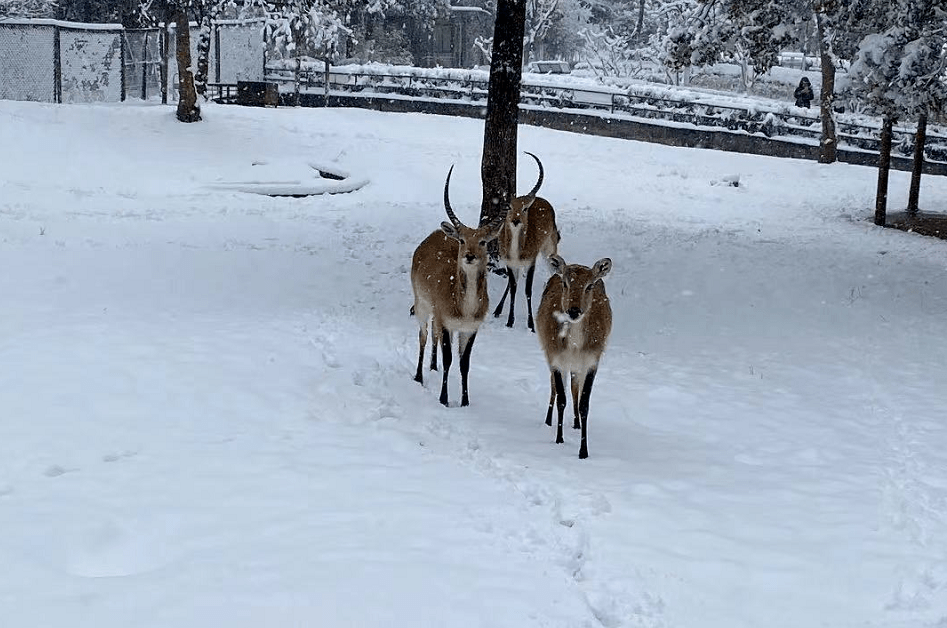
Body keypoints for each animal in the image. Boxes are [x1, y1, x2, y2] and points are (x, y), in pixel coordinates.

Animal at [412, 164, 508, 408]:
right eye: (463, 240)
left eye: (483, 241)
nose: (470, 256)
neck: (465, 308)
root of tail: (436, 233)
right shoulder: (447, 322)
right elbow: (448, 359)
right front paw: (444, 399)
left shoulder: (470, 329)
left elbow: (464, 363)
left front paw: (465, 401)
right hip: (422, 305)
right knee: (423, 335)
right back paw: (419, 376)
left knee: (433, 336)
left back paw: (432, 367)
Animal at [492, 151, 560, 334]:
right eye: (508, 207)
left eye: (524, 208)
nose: (516, 221)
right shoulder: (510, 263)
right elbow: (514, 287)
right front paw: (509, 321)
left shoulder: (531, 262)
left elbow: (527, 290)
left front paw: (531, 325)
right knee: (512, 283)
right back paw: (497, 310)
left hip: (549, 250)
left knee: (555, 270)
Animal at [532, 253, 616, 458]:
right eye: (565, 283)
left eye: (589, 286)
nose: (574, 310)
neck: (575, 346)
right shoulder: (555, 356)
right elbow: (561, 398)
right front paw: (559, 438)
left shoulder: (593, 360)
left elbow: (584, 403)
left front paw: (583, 450)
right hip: (549, 352)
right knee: (554, 387)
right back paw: (548, 420)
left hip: (577, 365)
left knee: (574, 386)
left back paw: (577, 423)